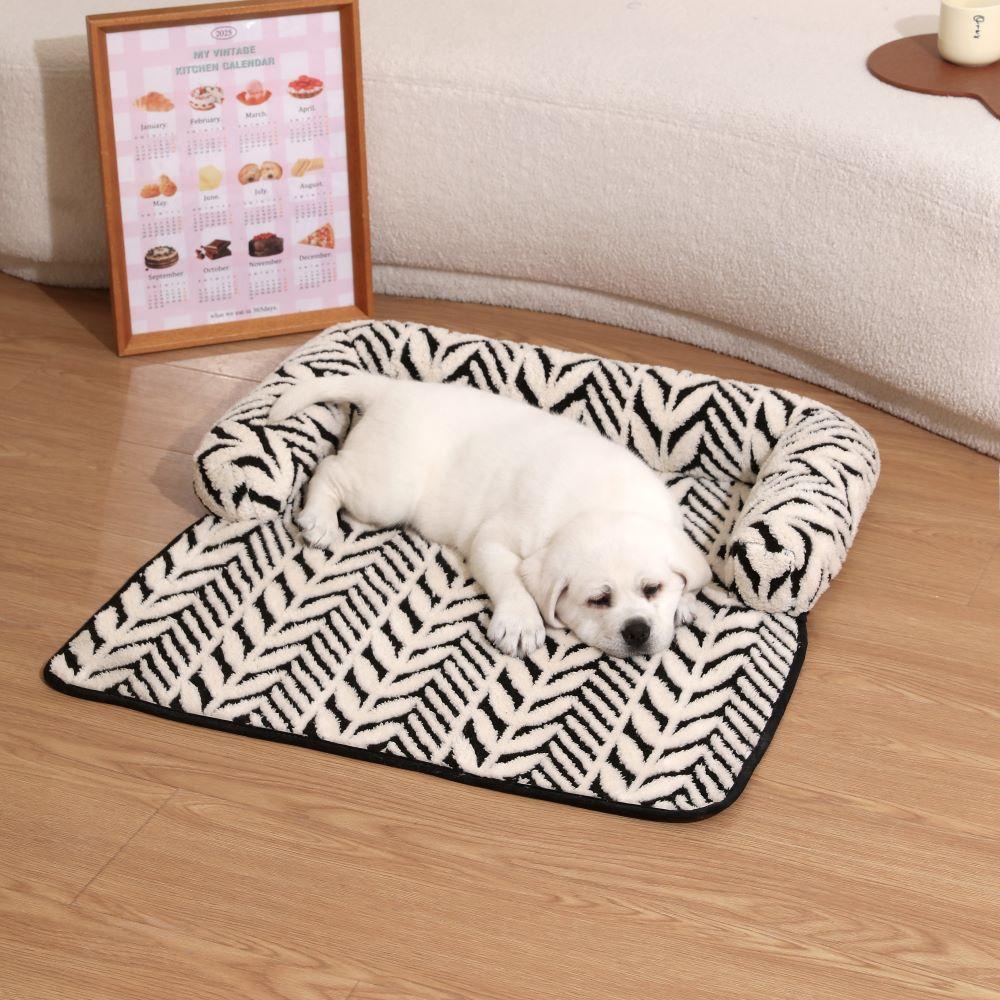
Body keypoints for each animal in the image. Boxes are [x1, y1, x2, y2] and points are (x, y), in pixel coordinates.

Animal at [269, 373, 711, 659]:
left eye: (653, 589)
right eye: (599, 600)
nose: (638, 630)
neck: (605, 501)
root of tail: (394, 388)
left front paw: (685, 602)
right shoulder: (493, 540)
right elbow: (510, 579)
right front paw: (520, 621)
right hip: (388, 488)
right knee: (330, 470)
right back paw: (320, 520)